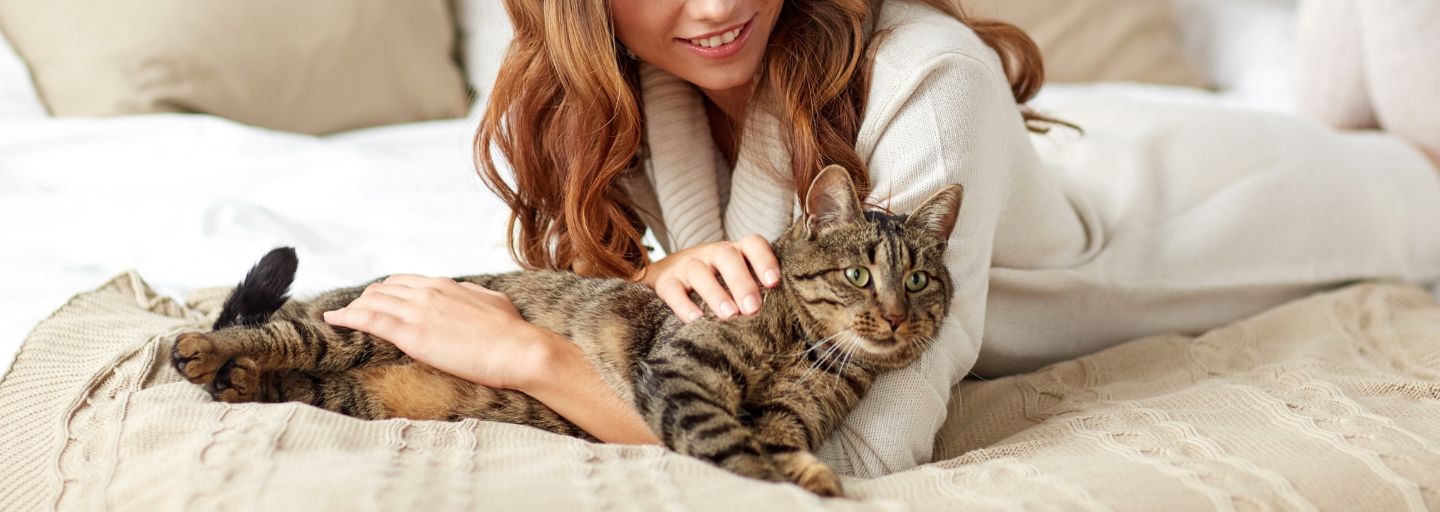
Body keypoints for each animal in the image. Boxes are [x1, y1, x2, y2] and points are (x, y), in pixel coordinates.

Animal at [171, 164, 956, 494]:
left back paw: (238, 381)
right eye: (859, 274)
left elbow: (772, 442)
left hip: (343, 392)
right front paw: (776, 482)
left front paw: (805, 476)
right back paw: (203, 349)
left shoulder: (789, 418)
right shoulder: (680, 372)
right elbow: (726, 442)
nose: (895, 315)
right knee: (270, 335)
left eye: (919, 281)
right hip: (348, 331)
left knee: (284, 376)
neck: (806, 348)